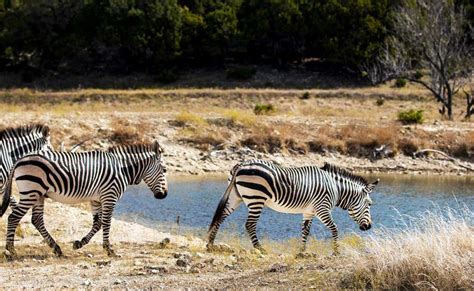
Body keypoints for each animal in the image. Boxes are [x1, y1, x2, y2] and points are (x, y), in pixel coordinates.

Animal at [0, 141, 168, 258]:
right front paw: (109, 250)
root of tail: (20, 159)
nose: (164, 195)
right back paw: (11, 251)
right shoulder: (109, 196)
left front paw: (79, 244)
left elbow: (98, 223)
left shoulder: (96, 199)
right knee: (13, 217)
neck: (123, 169)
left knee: (37, 220)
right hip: (31, 192)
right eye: (165, 170)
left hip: (39, 195)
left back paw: (57, 249)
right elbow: (107, 223)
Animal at [209, 161, 380, 254]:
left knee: (220, 217)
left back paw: (210, 245)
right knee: (250, 224)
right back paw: (260, 249)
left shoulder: (309, 211)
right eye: (369, 204)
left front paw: (302, 252)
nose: (369, 227)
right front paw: (336, 251)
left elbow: (305, 231)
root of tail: (241, 164)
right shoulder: (322, 208)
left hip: (235, 196)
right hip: (256, 198)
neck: (336, 188)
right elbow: (334, 228)